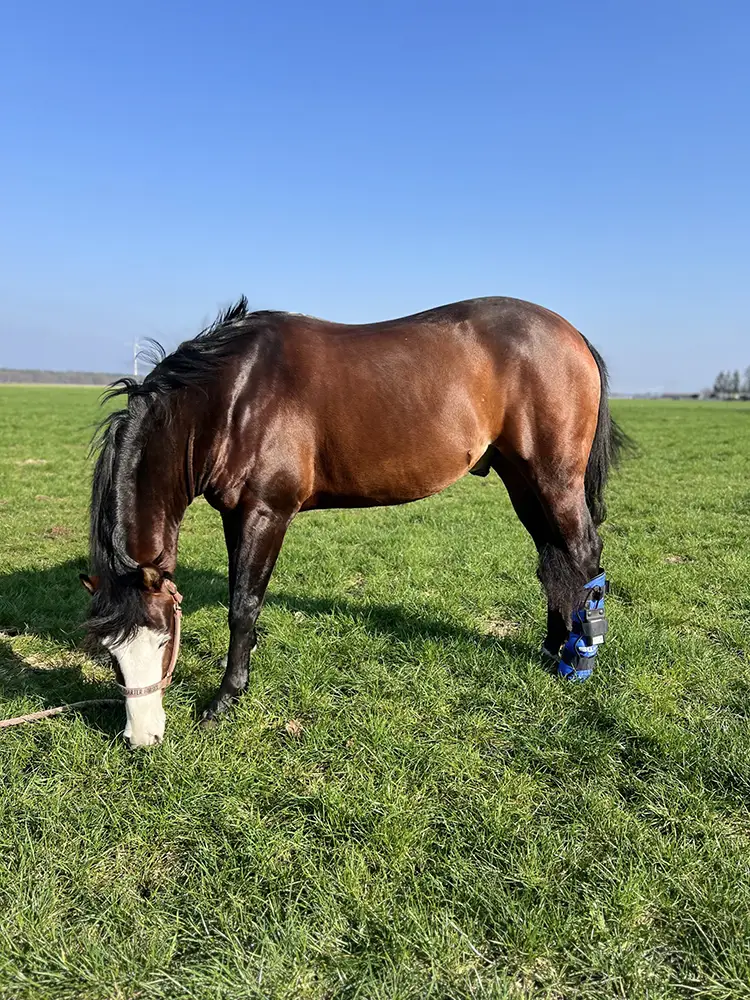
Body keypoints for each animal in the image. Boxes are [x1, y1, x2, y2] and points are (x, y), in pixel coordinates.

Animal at [80, 296, 627, 747]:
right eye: (110, 654)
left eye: (163, 639)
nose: (142, 738)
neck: (231, 394)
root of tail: (572, 334)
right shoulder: (236, 517)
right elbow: (242, 601)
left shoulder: (265, 514)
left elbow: (243, 608)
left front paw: (225, 699)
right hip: (521, 480)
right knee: (553, 561)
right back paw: (553, 646)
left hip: (554, 479)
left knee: (582, 557)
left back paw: (579, 659)